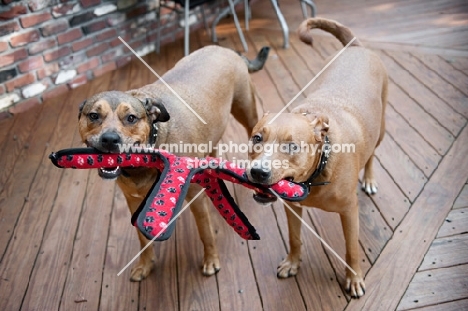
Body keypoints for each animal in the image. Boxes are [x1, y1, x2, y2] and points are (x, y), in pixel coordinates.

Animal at [78, 45, 268, 282]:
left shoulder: (195, 200)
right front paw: (145, 264)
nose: (110, 140)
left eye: (131, 118)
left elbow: (205, 232)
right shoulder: (133, 201)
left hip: (246, 111)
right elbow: (142, 238)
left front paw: (211, 260)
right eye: (94, 115)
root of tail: (226, 48)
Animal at [245, 17, 388, 300]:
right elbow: (294, 238)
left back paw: (369, 179)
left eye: (292, 146)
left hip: (381, 129)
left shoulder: (349, 212)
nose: (258, 172)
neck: (314, 177)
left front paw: (354, 279)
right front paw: (292, 263)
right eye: (257, 138)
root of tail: (355, 46)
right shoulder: (292, 208)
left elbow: (351, 250)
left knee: (371, 156)